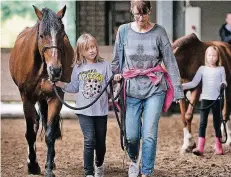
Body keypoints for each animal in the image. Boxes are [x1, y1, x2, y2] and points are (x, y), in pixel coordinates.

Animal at [9, 5, 73, 176]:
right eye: (42, 35)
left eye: (62, 33)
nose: (55, 70)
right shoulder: (27, 99)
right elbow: (31, 132)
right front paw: (32, 165)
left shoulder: (56, 98)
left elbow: (50, 133)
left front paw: (49, 167)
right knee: (36, 123)